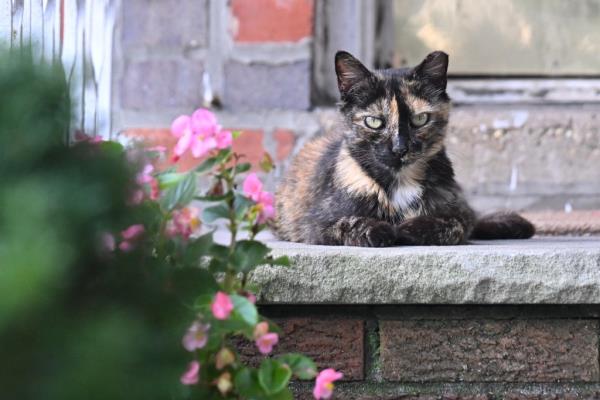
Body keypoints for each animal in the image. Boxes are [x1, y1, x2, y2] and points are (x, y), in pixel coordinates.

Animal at [274, 50, 532, 247]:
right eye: (374, 121)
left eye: (420, 119)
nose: (400, 148)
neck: (400, 183)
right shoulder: (315, 224)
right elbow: (349, 222)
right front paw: (380, 230)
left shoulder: (459, 213)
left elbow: (453, 224)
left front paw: (410, 228)